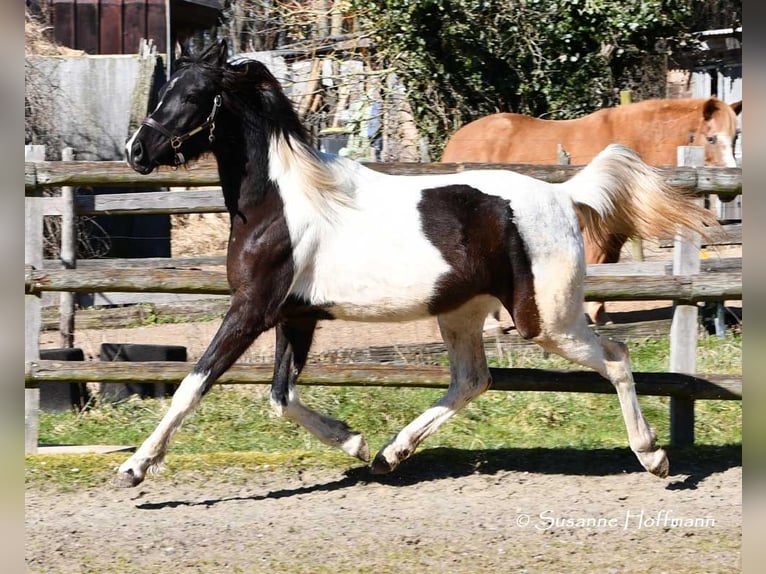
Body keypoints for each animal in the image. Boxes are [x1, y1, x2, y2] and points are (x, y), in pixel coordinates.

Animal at [442, 97, 741, 325]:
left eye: (734, 137)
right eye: (711, 138)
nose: (729, 188)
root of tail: (455, 141)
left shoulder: (614, 234)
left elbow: (608, 267)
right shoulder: (598, 231)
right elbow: (596, 265)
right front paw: (593, 314)